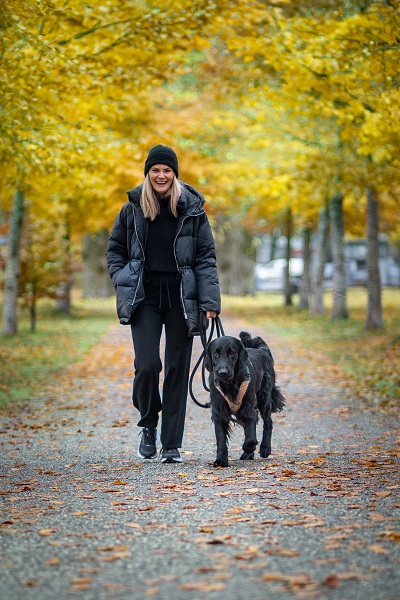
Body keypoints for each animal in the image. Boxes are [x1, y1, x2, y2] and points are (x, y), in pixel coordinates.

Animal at [205, 332, 286, 468]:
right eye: (215, 353)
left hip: (264, 399)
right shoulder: (219, 410)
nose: (222, 372)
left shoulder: (249, 408)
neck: (230, 384)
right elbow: (221, 438)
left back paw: (265, 449)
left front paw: (248, 449)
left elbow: (251, 438)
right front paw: (221, 460)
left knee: (268, 423)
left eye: (232, 353)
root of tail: (262, 350)